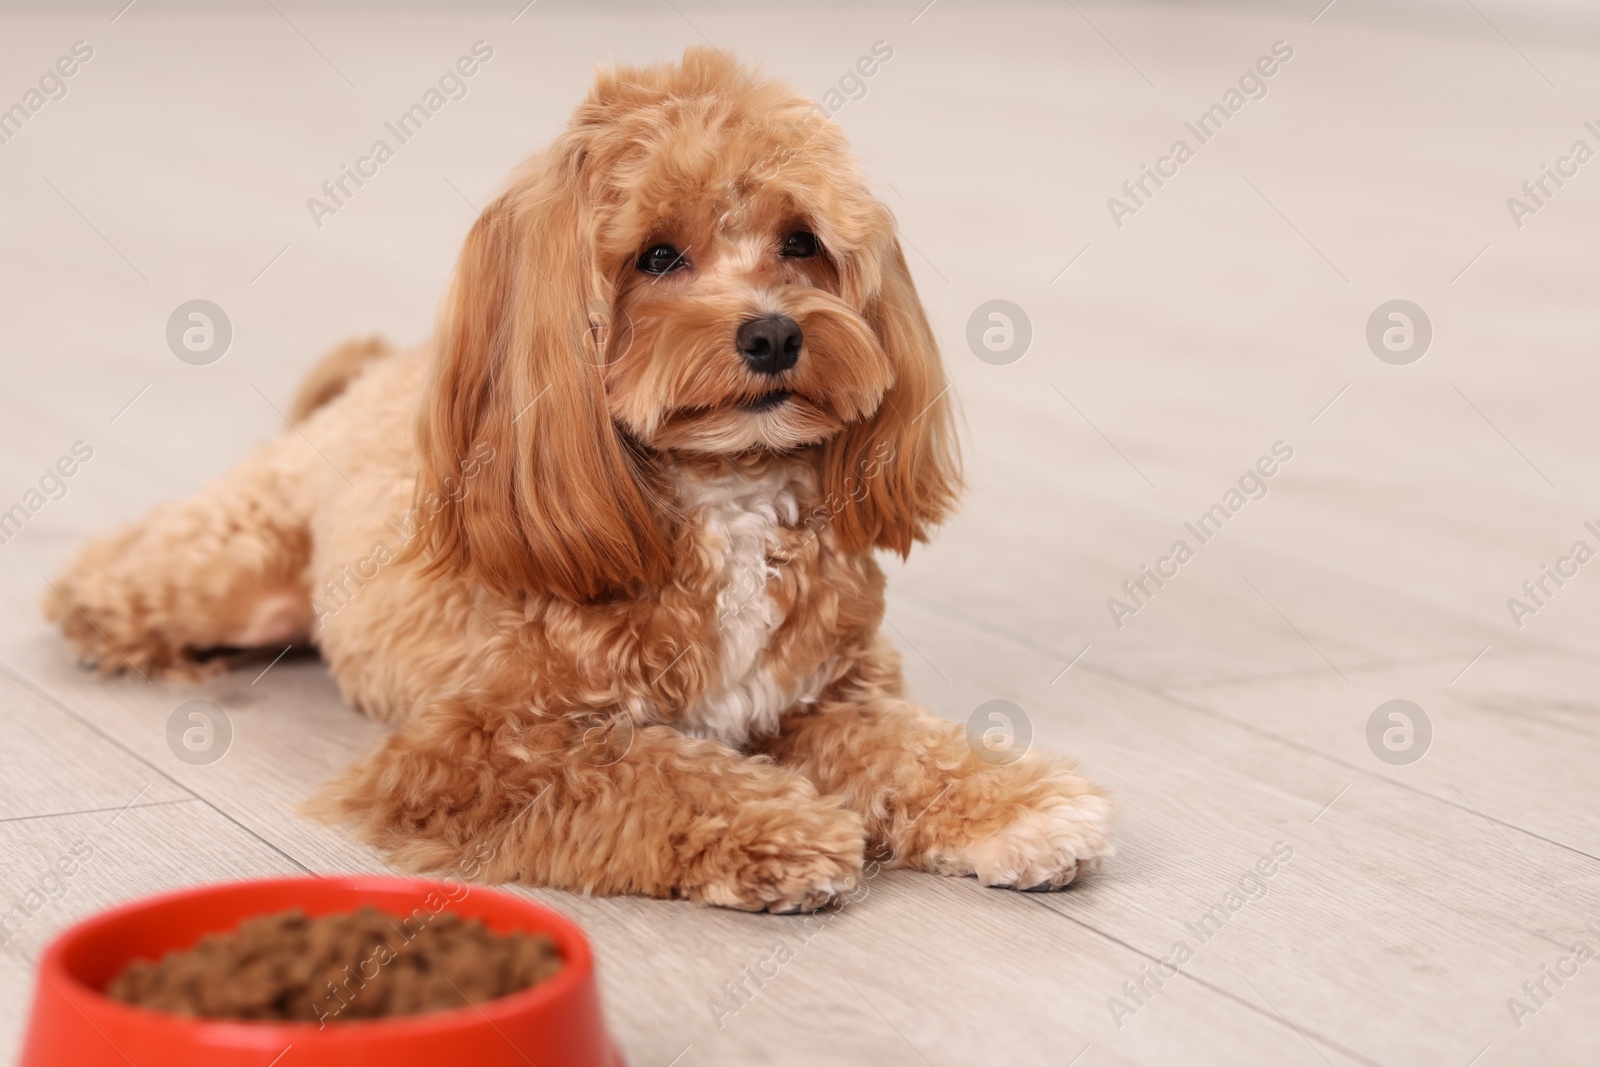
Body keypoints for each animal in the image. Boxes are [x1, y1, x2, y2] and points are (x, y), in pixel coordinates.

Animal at [43, 49, 1113, 915]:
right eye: (658, 255)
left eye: (801, 240)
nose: (774, 333)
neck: (722, 491)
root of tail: (379, 376)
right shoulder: (476, 753)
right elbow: (648, 772)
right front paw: (779, 828)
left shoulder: (825, 696)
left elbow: (909, 747)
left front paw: (1012, 802)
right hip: (230, 571)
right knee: (103, 577)